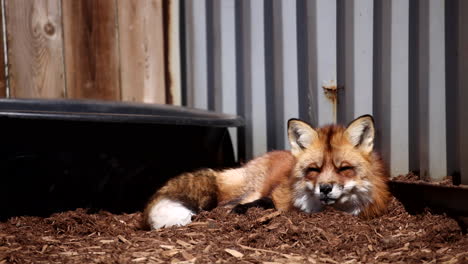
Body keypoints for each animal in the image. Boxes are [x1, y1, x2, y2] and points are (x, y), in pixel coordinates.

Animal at [144, 115, 392, 229]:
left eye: (344, 169)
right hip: (248, 189)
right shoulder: (276, 197)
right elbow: (266, 203)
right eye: (314, 169)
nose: (325, 188)